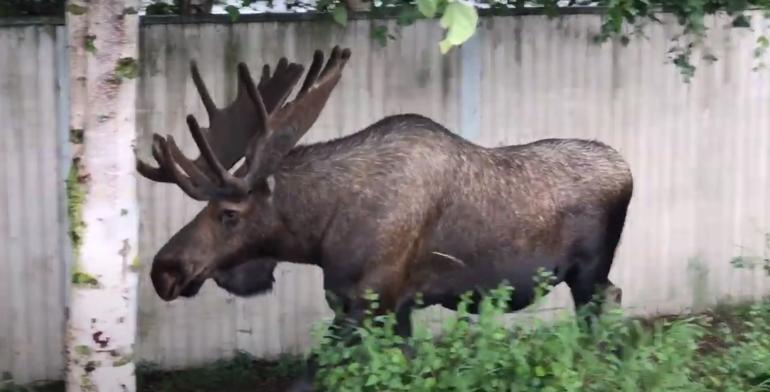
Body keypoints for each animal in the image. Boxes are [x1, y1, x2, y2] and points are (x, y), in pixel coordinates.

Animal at [136, 45, 632, 388]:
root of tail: (626, 169)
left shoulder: (366, 303)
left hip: (588, 271)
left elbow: (309, 378)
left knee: (603, 308)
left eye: (229, 213)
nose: (164, 270)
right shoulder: (395, 307)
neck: (319, 236)